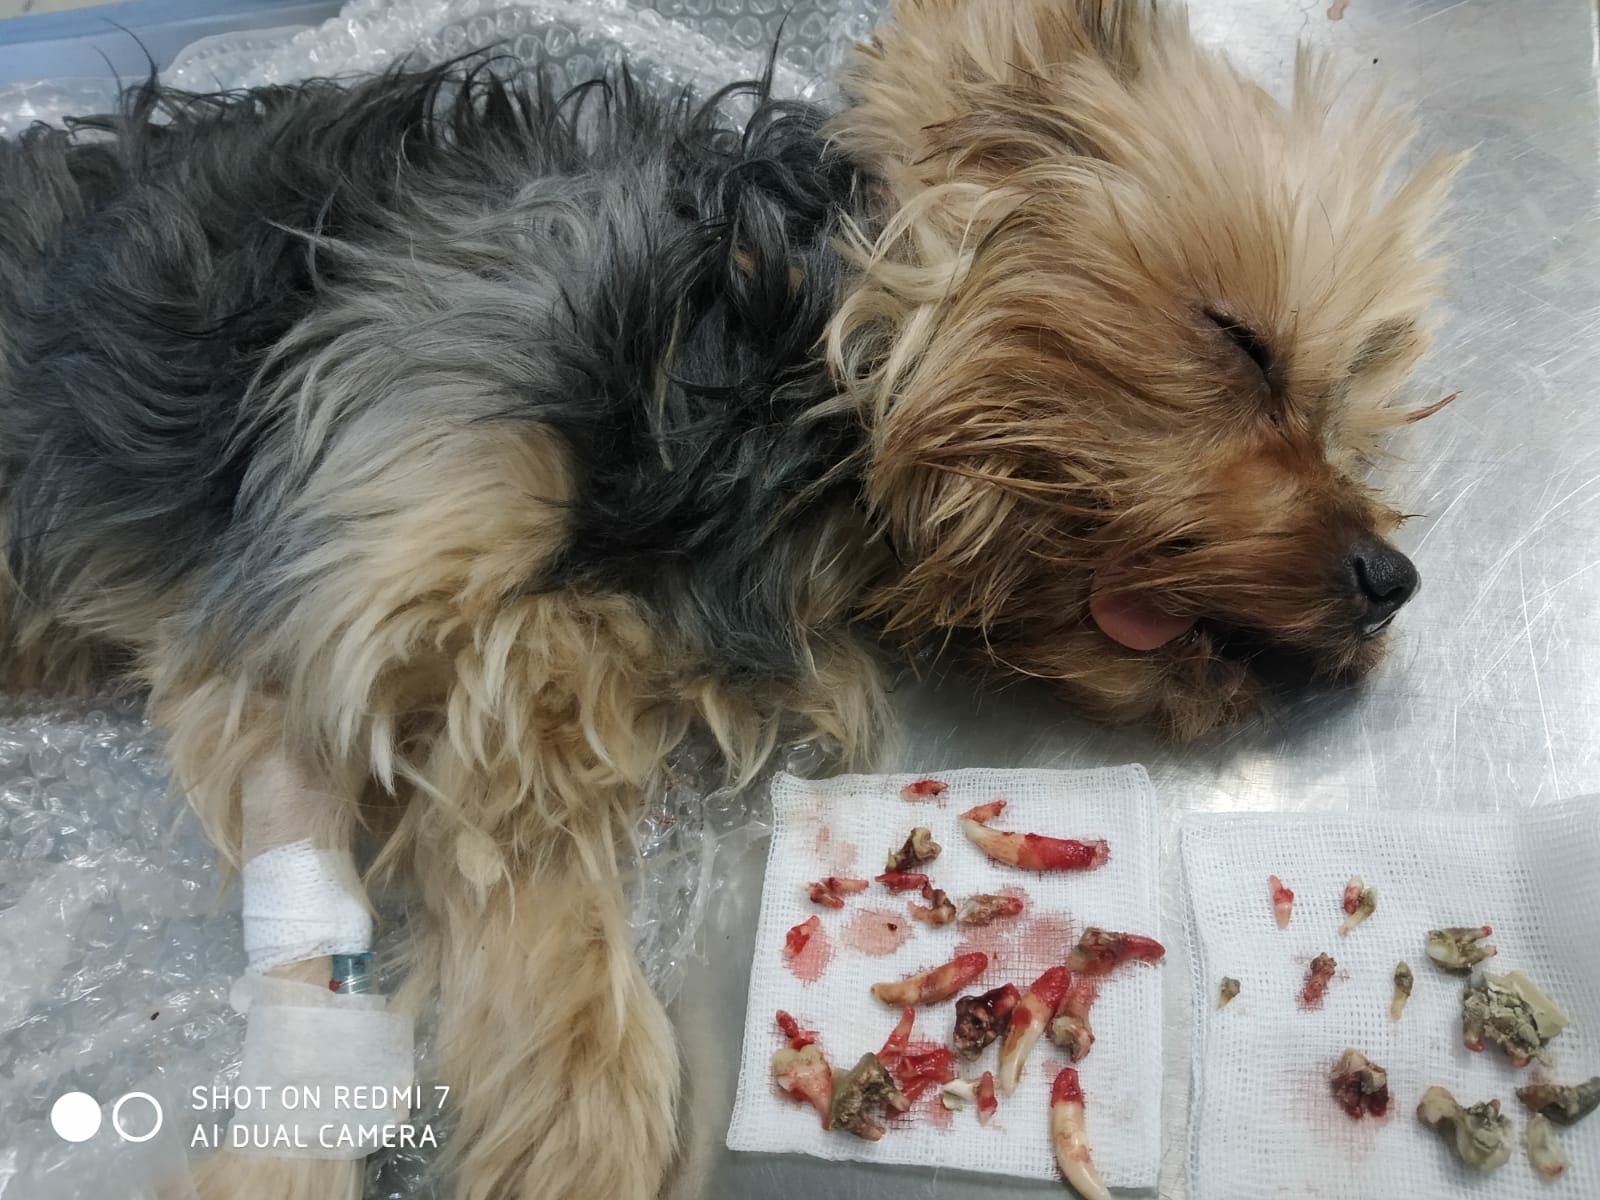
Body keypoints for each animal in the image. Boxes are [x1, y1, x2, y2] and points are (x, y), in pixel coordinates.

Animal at [0, 1, 1457, 1196]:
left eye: (1340, 413)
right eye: (1237, 343)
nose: (1390, 579)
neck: (747, 370)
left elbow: (521, 810)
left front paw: (560, 1104)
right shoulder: (330, 601)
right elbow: (468, 801)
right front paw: (538, 1114)